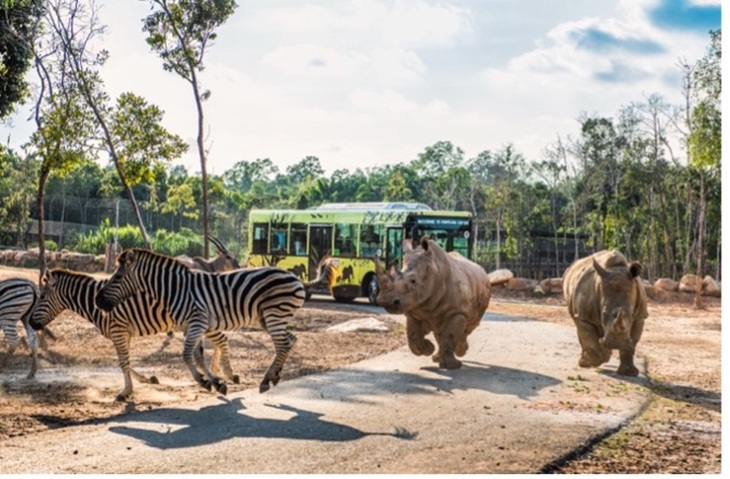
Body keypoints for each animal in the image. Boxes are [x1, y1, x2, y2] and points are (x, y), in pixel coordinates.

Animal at [29, 270, 239, 402]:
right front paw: (146, 380)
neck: (95, 303)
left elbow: (123, 363)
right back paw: (219, 374)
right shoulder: (123, 333)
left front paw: (125, 392)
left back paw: (227, 373)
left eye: (42, 297)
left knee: (222, 339)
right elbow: (126, 362)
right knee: (219, 341)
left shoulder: (118, 331)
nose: (31, 322)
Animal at [94, 249, 308, 396]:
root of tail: (295, 277)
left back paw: (266, 380)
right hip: (270, 317)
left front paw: (204, 381)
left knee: (282, 345)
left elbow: (187, 354)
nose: (97, 300)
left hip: (275, 314)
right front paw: (215, 382)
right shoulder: (192, 326)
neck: (174, 290)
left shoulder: (197, 322)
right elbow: (197, 355)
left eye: (118, 277)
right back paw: (275, 376)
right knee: (290, 340)